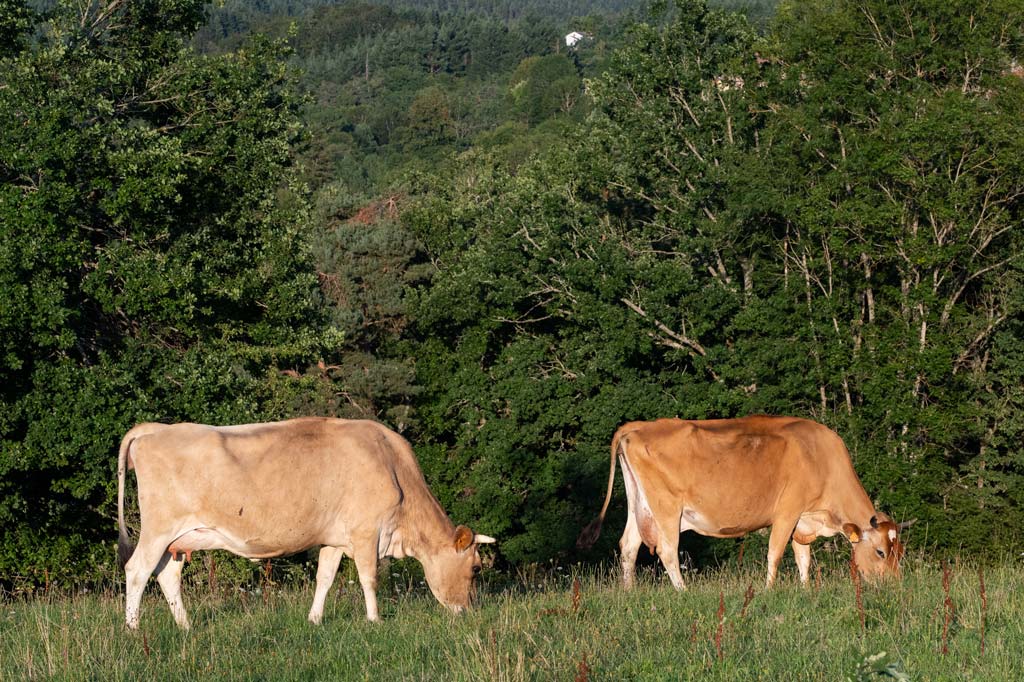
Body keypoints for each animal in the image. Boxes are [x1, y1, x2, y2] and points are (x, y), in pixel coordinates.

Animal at [119, 413, 495, 626]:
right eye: (476, 568)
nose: (468, 612)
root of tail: (154, 430)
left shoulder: (334, 538)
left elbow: (324, 578)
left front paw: (314, 620)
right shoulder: (367, 533)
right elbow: (369, 578)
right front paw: (375, 620)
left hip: (176, 540)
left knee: (167, 575)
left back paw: (186, 626)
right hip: (158, 529)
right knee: (137, 570)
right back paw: (133, 628)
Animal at [581, 417, 909, 585]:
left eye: (900, 552)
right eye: (880, 552)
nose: (894, 584)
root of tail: (637, 426)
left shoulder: (803, 521)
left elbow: (803, 558)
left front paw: (806, 591)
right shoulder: (787, 512)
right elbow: (775, 554)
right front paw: (769, 591)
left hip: (640, 505)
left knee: (629, 546)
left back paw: (628, 592)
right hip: (666, 509)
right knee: (667, 551)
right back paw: (683, 592)